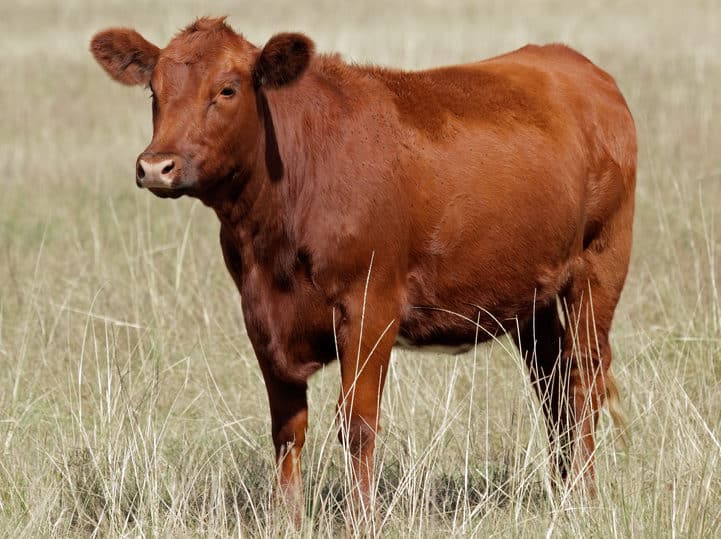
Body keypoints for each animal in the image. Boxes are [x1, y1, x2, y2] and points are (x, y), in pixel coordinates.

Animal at [90, 16, 635, 515]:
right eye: (154, 90)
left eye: (226, 89)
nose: (156, 166)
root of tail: (573, 64)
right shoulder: (260, 316)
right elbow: (287, 430)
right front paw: (288, 518)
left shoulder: (372, 305)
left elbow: (357, 423)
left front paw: (362, 517)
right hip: (532, 298)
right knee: (553, 385)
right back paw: (564, 492)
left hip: (599, 267)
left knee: (582, 378)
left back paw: (585, 496)